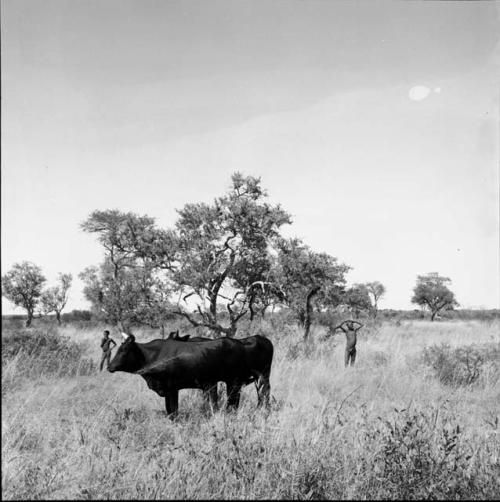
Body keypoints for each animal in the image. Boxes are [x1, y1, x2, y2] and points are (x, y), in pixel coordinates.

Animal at [108, 334, 274, 416]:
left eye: (124, 351)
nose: (110, 367)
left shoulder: (171, 389)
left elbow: (173, 411)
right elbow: (170, 411)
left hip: (240, 381)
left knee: (245, 399)